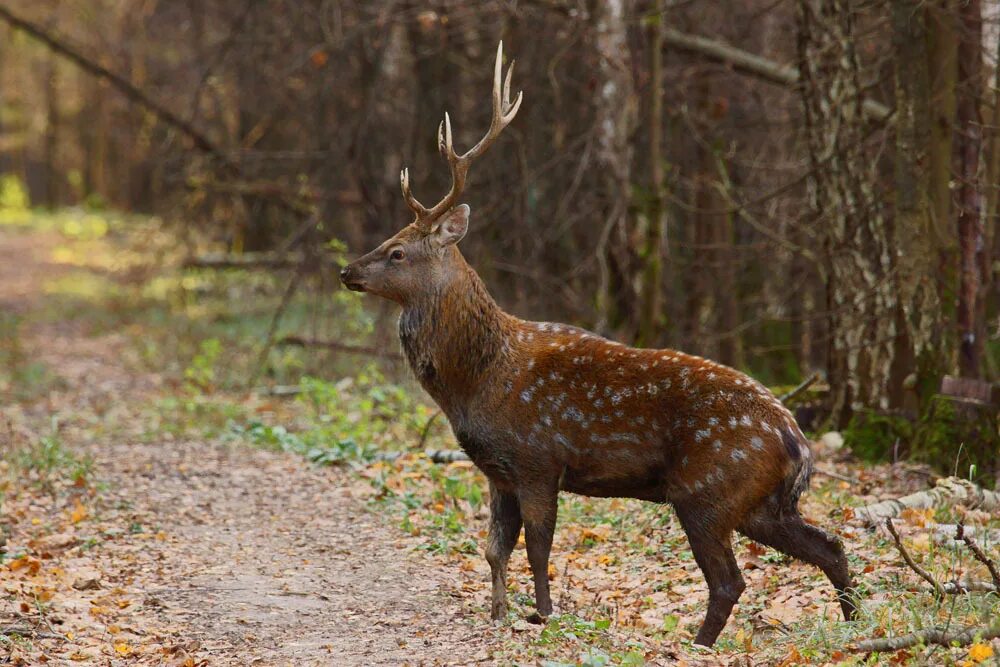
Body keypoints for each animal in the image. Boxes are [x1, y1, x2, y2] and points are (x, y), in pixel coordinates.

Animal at [340, 41, 856, 648]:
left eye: (397, 251)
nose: (347, 271)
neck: (477, 382)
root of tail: (797, 441)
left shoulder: (537, 458)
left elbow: (538, 548)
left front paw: (543, 615)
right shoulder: (497, 470)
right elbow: (494, 549)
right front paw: (498, 614)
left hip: (707, 490)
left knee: (730, 580)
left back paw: (696, 645)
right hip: (757, 503)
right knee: (830, 545)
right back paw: (853, 626)